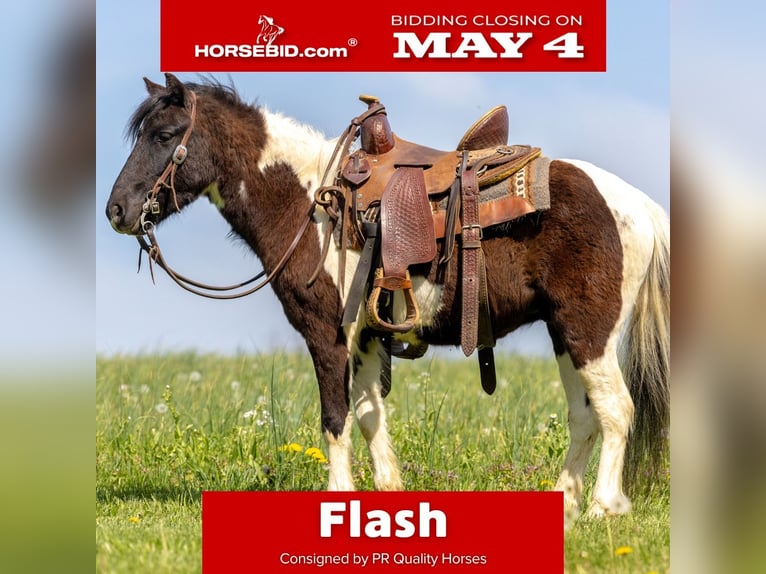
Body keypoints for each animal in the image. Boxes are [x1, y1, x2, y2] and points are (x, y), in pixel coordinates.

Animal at [105, 74, 670, 520]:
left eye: (163, 135)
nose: (117, 210)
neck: (309, 204)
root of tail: (639, 206)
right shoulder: (367, 340)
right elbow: (371, 415)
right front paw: (388, 493)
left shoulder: (327, 334)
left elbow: (335, 419)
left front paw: (339, 496)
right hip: (564, 335)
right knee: (584, 416)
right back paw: (566, 504)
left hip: (589, 333)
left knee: (616, 409)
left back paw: (601, 509)